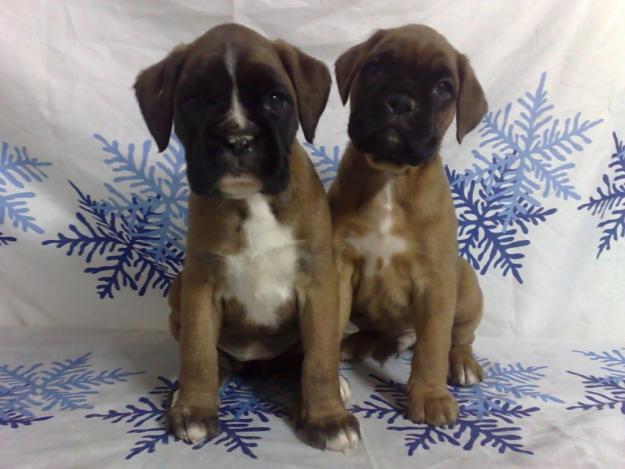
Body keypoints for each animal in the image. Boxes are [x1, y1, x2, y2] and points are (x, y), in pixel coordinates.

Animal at [135, 22, 360, 450]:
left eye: (275, 99)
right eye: (194, 102)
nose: (237, 140)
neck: (252, 201)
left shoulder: (320, 285)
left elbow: (320, 359)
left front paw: (327, 417)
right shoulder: (200, 285)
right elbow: (197, 352)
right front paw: (194, 408)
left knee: (306, 359)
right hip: (177, 287)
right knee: (213, 356)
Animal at [330, 26, 486, 428]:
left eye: (444, 88)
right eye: (373, 68)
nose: (400, 102)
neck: (390, 178)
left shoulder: (436, 283)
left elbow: (433, 347)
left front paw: (429, 396)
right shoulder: (339, 270)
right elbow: (327, 330)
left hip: (465, 286)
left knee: (458, 337)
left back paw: (462, 363)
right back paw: (358, 343)